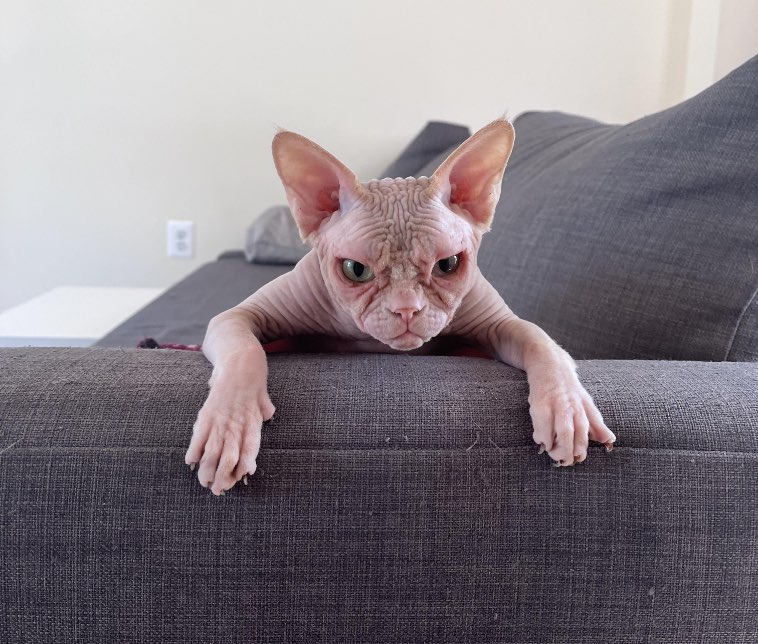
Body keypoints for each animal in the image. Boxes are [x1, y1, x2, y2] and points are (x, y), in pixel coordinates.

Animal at [185, 119, 616, 495]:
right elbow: (246, 351)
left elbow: (543, 342)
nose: (407, 308)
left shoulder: (500, 323)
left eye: (448, 265)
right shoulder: (236, 317)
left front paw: (566, 408)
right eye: (355, 269)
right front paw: (230, 428)